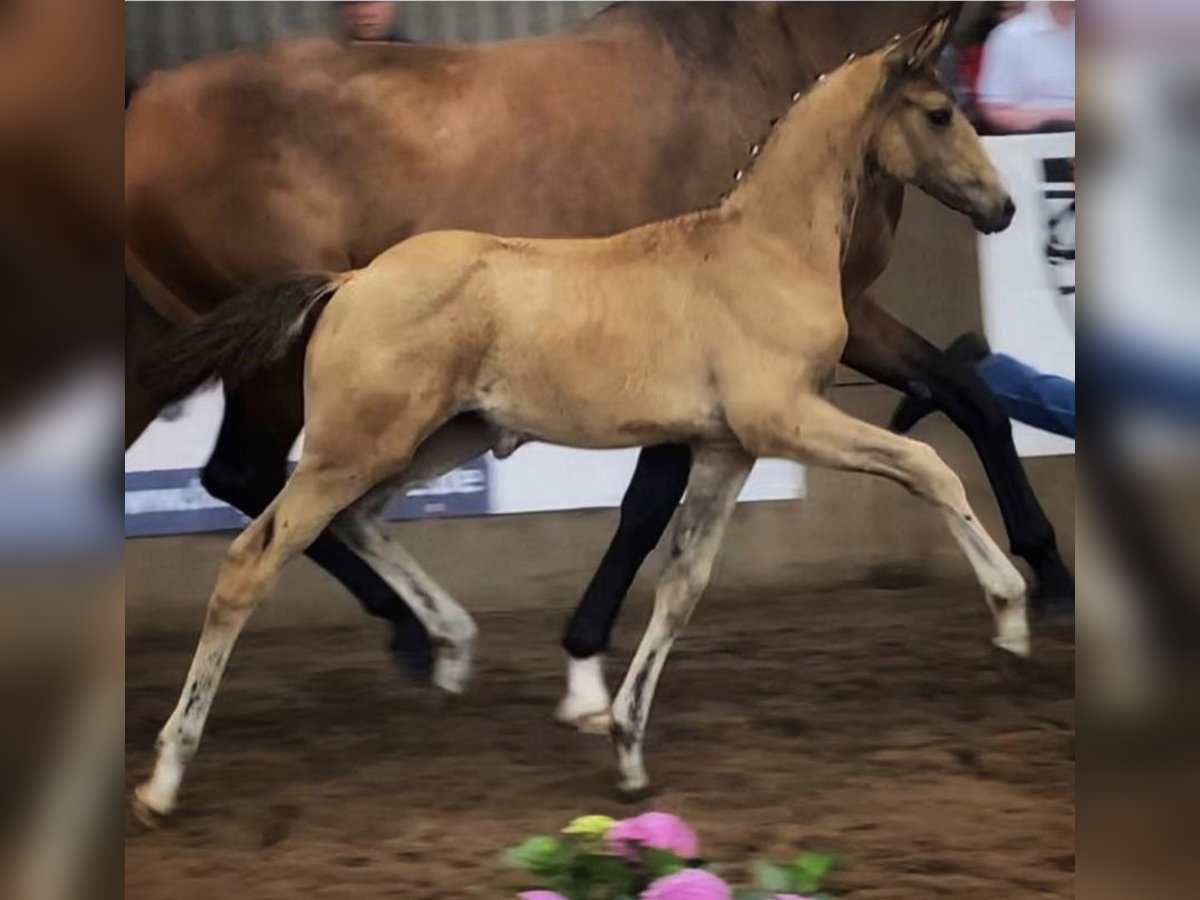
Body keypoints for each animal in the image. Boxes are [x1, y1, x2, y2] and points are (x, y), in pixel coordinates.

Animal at [136, 17, 1027, 816]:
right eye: (939, 112)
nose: (1004, 207)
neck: (761, 250)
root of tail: (349, 281)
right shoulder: (785, 420)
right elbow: (928, 466)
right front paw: (1012, 613)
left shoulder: (724, 449)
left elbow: (682, 585)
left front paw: (627, 749)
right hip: (352, 447)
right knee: (251, 559)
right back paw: (166, 777)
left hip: (434, 438)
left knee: (358, 519)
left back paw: (451, 646)